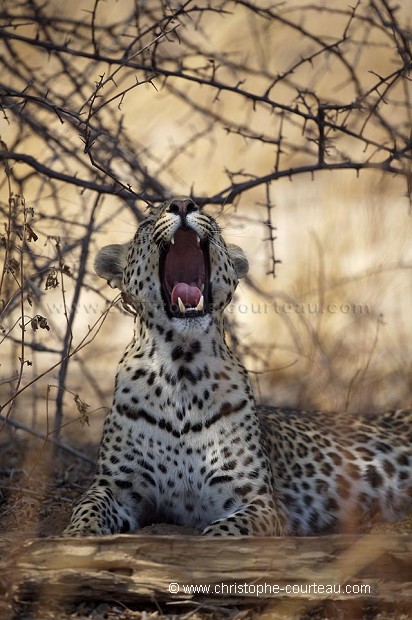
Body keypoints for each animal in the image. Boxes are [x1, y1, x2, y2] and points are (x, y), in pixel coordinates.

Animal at [62, 196, 410, 536]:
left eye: (207, 215)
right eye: (146, 223)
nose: (183, 204)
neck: (180, 367)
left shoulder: (256, 500)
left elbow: (223, 533)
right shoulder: (116, 487)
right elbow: (86, 510)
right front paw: (76, 539)